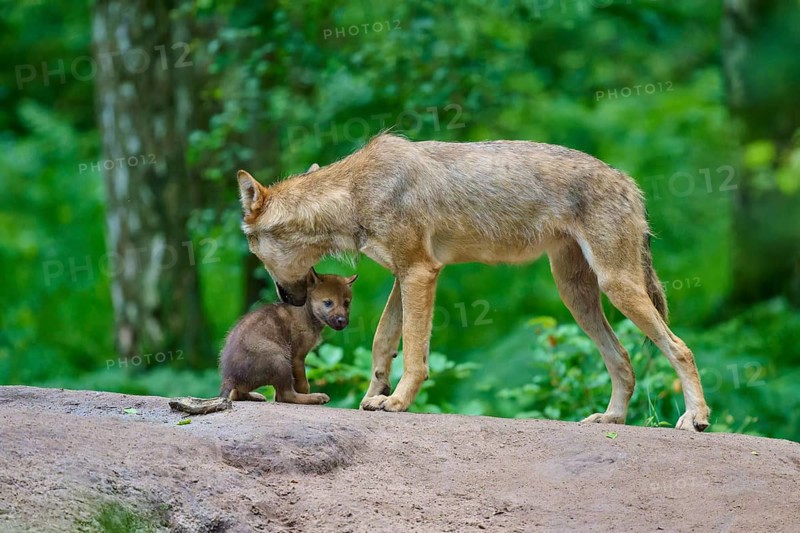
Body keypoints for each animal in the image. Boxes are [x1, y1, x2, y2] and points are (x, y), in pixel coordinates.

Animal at [236, 133, 710, 431]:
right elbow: (382, 341)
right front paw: (374, 395)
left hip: (616, 287)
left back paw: (696, 419)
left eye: (255, 254)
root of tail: (627, 181)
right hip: (577, 296)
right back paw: (611, 419)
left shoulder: (420, 272)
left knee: (679, 347)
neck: (355, 192)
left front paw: (397, 402)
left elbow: (415, 353)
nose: (285, 299)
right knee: (624, 358)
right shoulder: (402, 277)